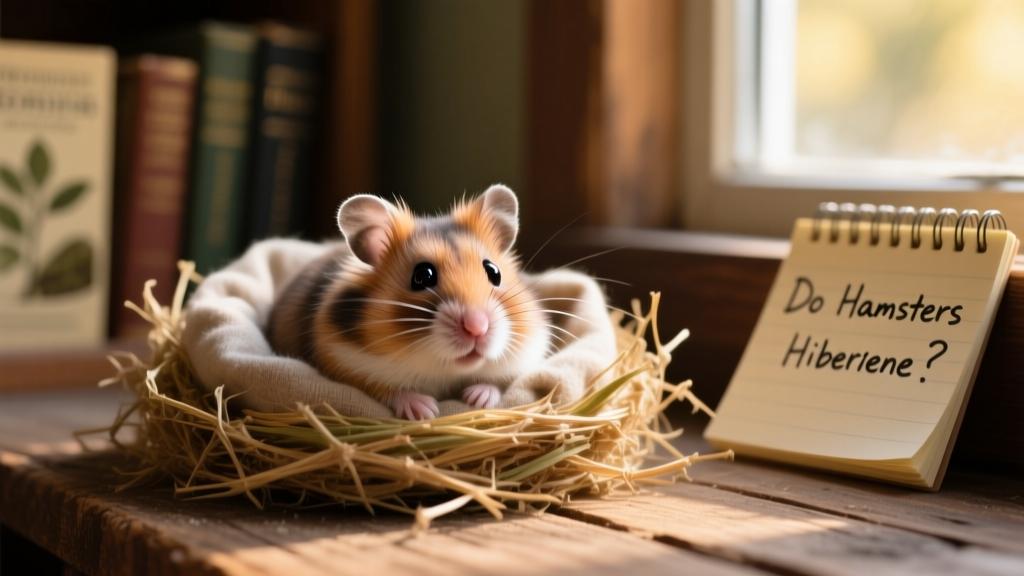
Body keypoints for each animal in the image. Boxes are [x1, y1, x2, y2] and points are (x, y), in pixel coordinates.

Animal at [266, 185, 552, 420]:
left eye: (494, 272)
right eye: (422, 276)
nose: (477, 327)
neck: (445, 370)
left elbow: (499, 382)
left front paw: (476, 398)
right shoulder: (342, 363)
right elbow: (388, 390)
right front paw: (426, 410)